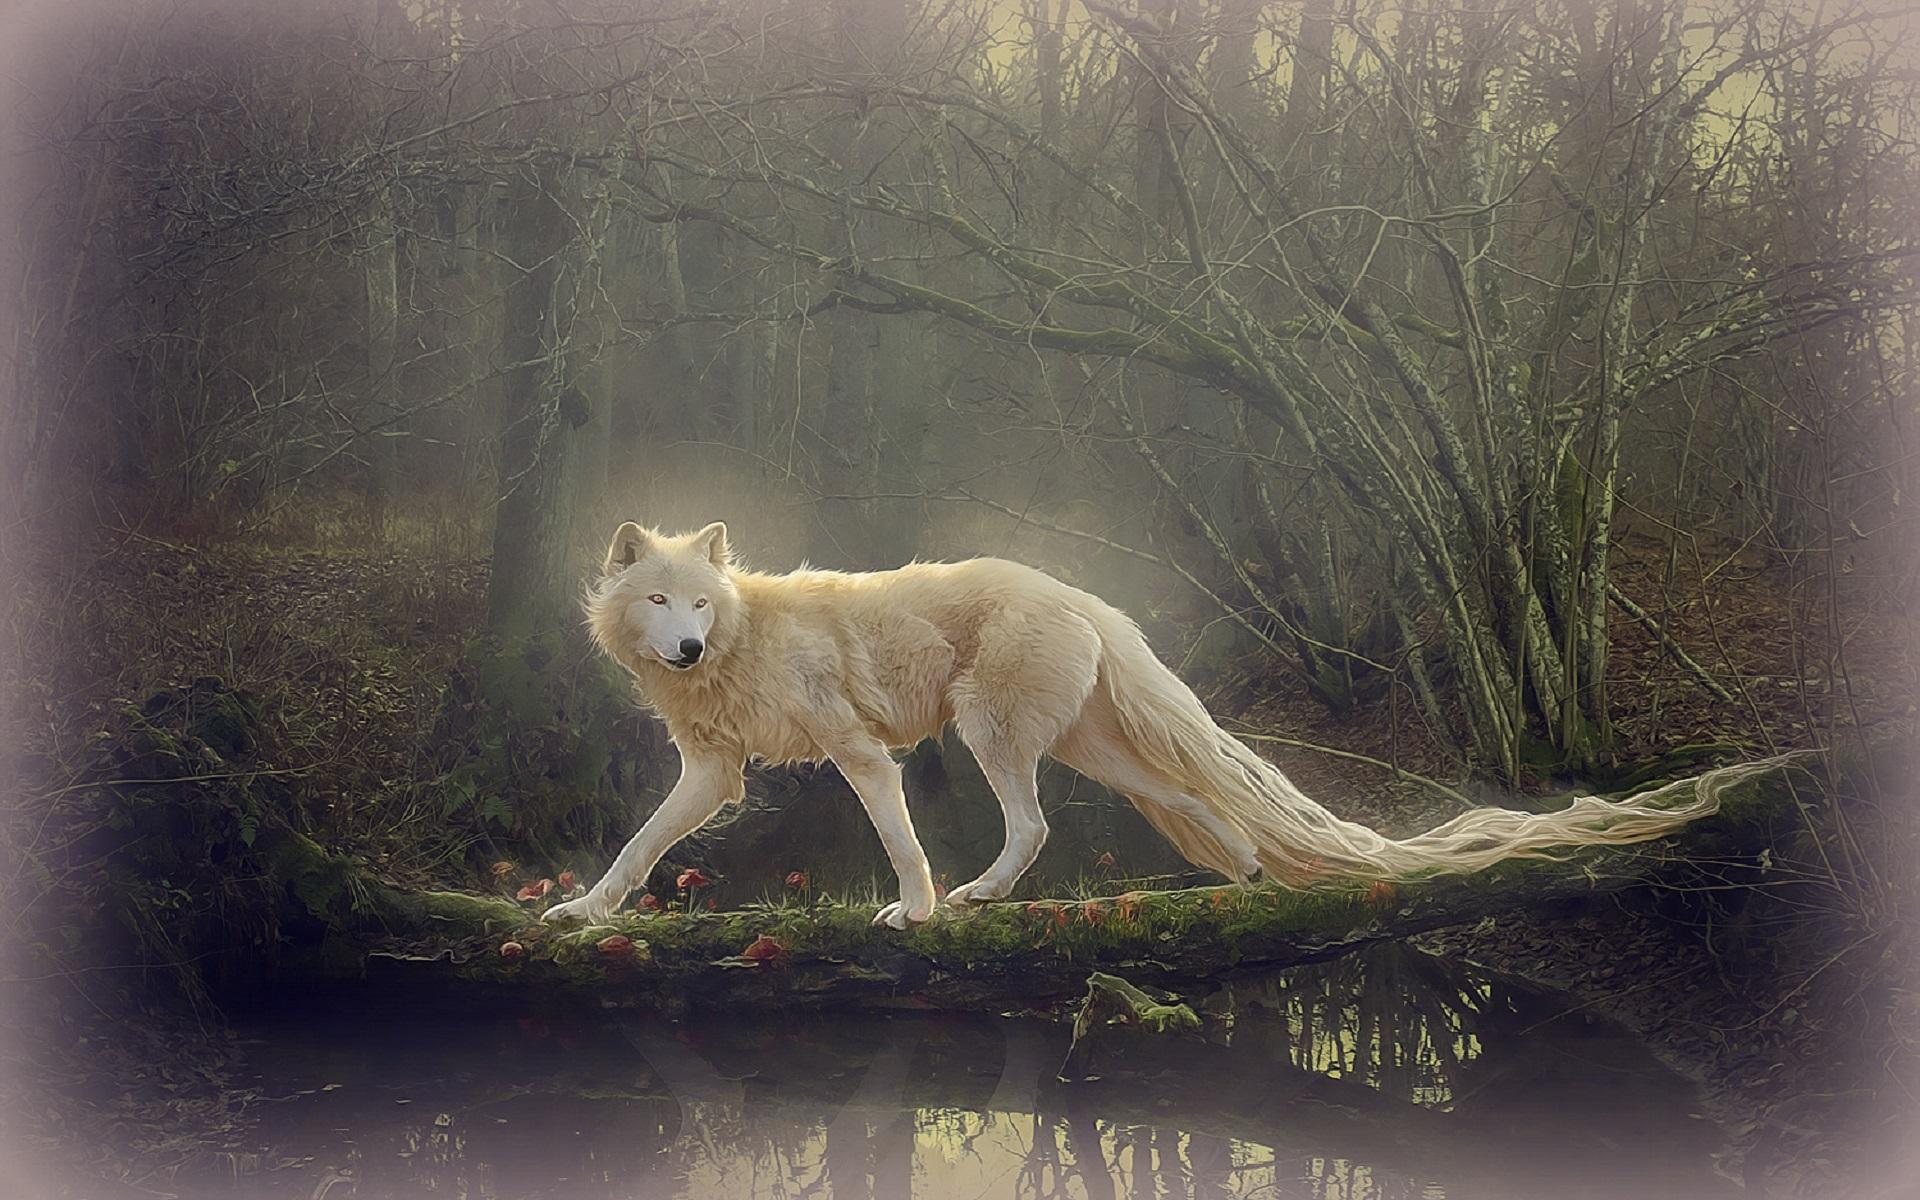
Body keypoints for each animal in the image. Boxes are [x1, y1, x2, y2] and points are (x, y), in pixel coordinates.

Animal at [544, 520, 1741, 929]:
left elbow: (900, 842)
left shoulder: (860, 753)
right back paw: (1248, 879)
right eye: (659, 600)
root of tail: (1083, 593)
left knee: (1033, 830)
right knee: (1198, 805)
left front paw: (917, 912)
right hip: (1099, 758)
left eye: (701, 602)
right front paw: (584, 915)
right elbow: (640, 846)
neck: (743, 641)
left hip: (992, 738)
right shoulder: (714, 775)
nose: (686, 648)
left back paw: (979, 899)